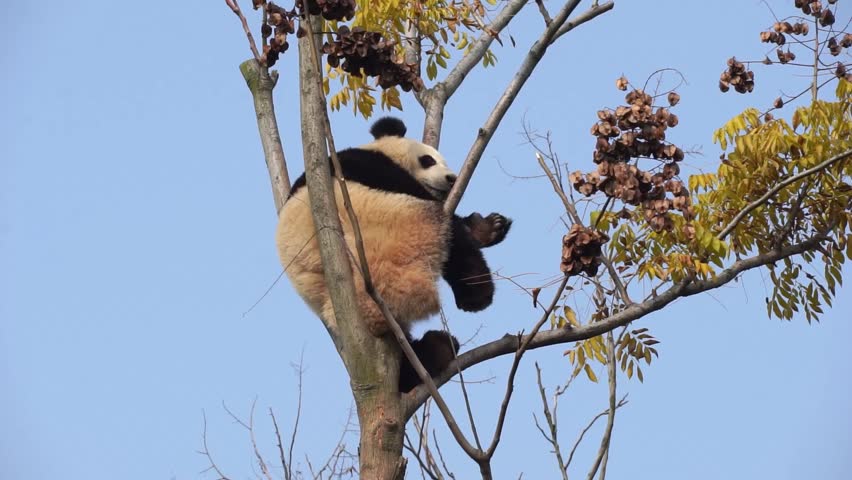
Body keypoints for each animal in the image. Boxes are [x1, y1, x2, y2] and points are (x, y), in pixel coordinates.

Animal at [276, 117, 511, 392]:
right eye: (428, 160)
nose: (452, 178)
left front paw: (492, 226)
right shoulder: (365, 165)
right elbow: (414, 190)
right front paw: (483, 229)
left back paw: (435, 351)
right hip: (407, 228)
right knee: (451, 237)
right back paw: (475, 295)